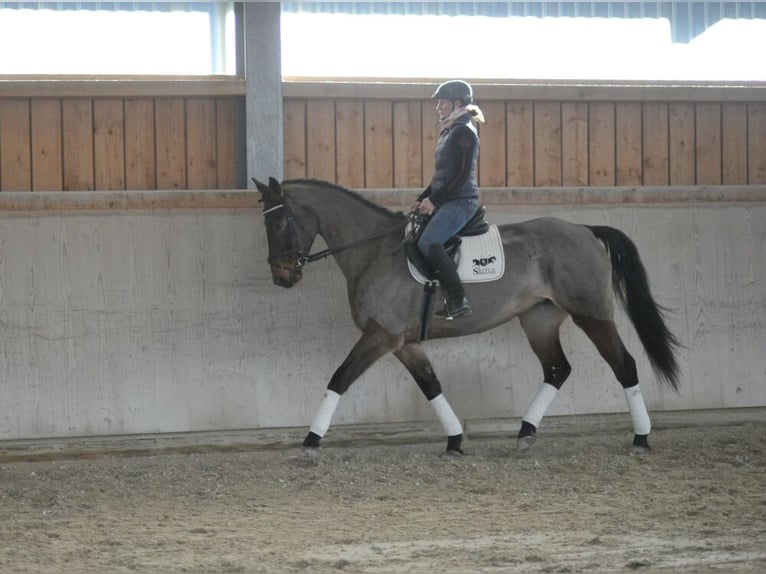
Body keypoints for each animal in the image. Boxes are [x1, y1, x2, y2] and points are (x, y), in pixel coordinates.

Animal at [255, 178, 680, 456]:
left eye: (279, 222)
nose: (281, 277)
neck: (375, 251)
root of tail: (584, 230)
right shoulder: (403, 342)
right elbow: (430, 384)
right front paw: (455, 440)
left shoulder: (381, 336)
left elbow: (339, 378)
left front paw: (311, 440)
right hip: (539, 320)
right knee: (557, 369)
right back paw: (525, 433)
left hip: (592, 314)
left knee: (624, 365)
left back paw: (641, 439)